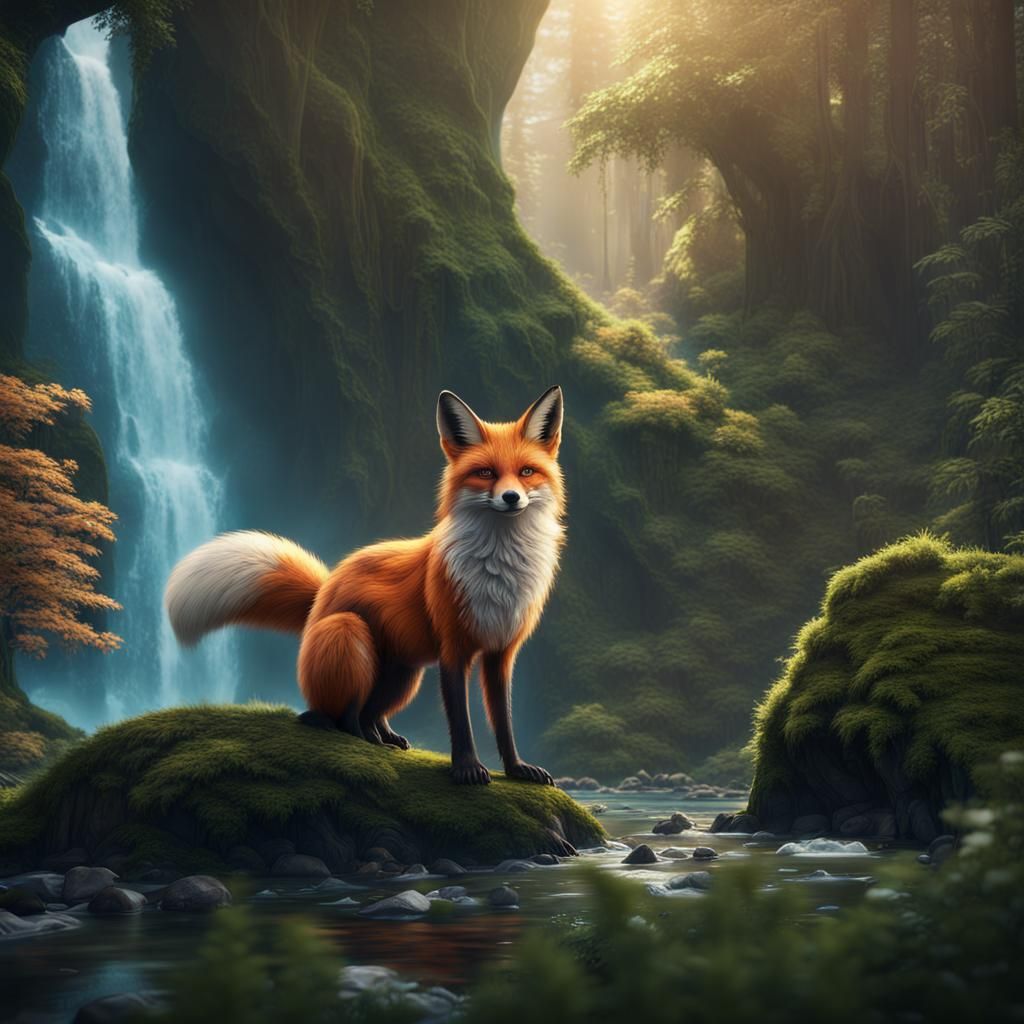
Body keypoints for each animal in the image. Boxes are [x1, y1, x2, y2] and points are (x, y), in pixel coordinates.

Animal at [164, 386, 565, 786]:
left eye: (526, 472)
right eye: (485, 473)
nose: (511, 498)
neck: (498, 574)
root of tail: (325, 591)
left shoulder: (501, 652)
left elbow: (504, 721)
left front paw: (517, 769)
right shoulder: (453, 649)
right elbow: (461, 721)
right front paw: (466, 768)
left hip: (404, 672)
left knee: (371, 711)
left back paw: (384, 736)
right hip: (351, 634)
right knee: (342, 717)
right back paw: (360, 737)